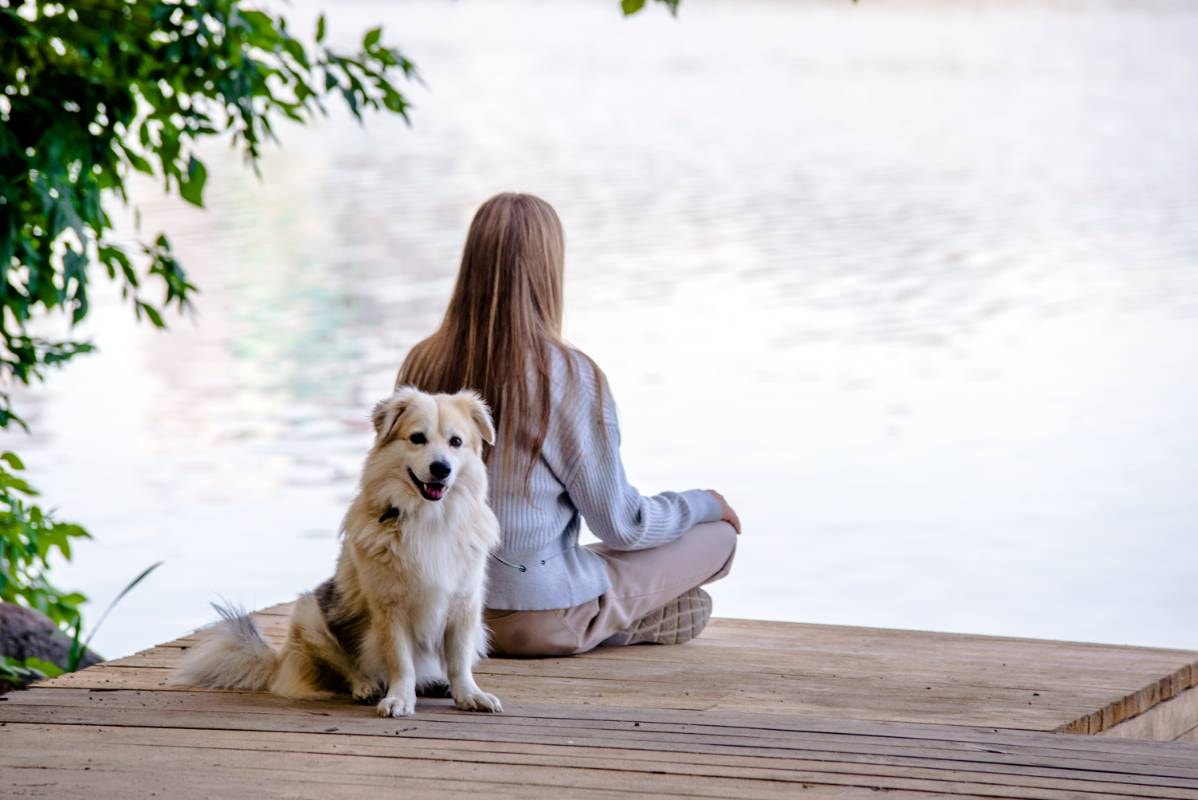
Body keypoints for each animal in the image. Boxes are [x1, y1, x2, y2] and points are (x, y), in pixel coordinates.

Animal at [173, 388, 500, 718]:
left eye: (456, 441)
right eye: (417, 438)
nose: (441, 469)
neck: (429, 518)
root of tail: (279, 664)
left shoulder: (464, 604)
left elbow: (459, 660)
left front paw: (469, 694)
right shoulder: (389, 608)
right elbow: (401, 662)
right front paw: (399, 698)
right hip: (310, 615)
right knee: (348, 668)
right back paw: (366, 687)